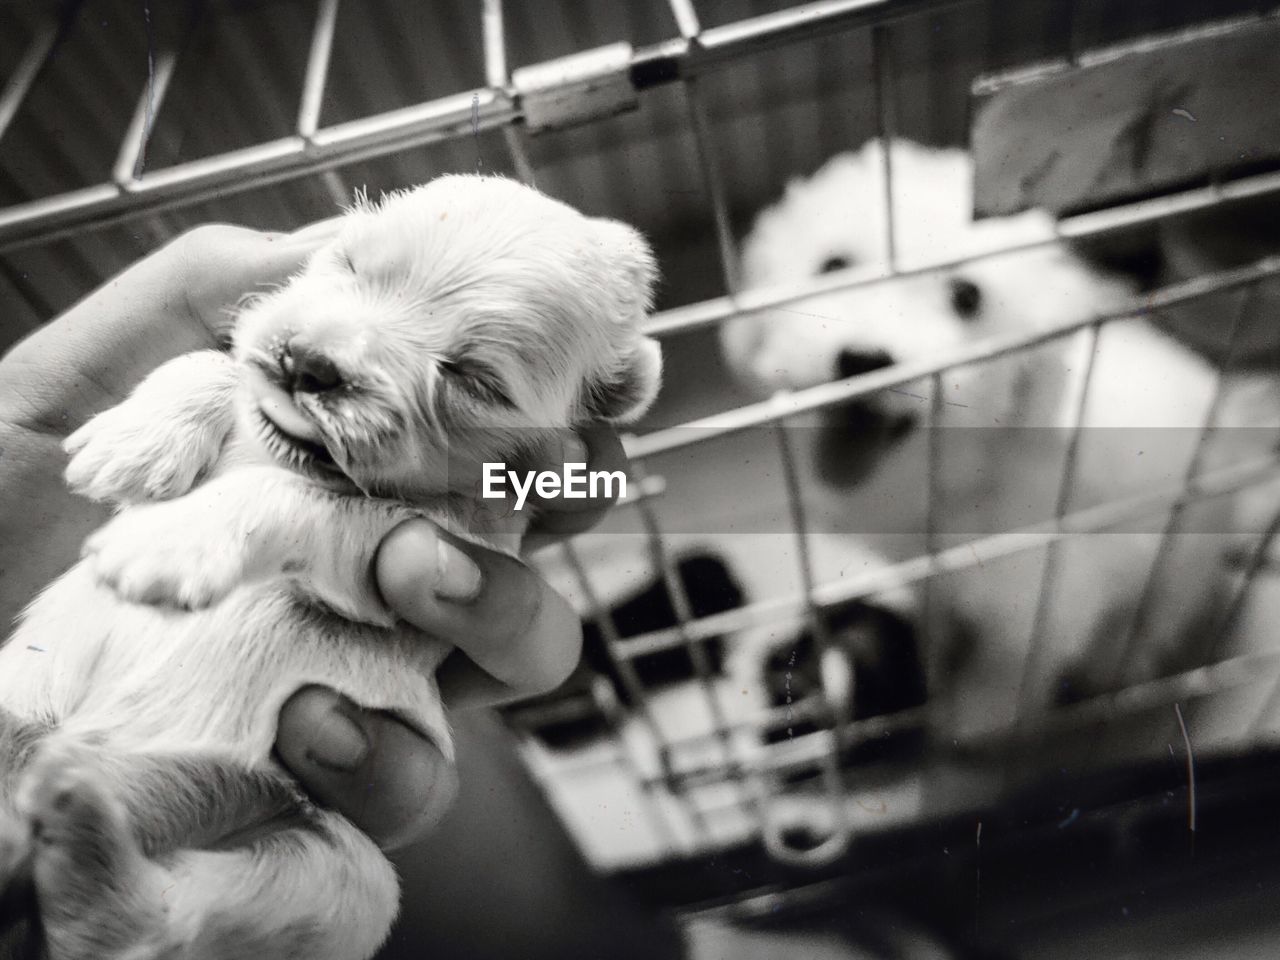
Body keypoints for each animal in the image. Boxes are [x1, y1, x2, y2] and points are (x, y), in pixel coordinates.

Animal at [0, 175, 665, 960]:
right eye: (349, 263)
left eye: (476, 380)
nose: (311, 363)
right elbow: (217, 365)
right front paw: (129, 446)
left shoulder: (427, 543)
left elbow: (293, 496)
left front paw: (166, 540)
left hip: (334, 871)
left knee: (150, 930)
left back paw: (76, 817)